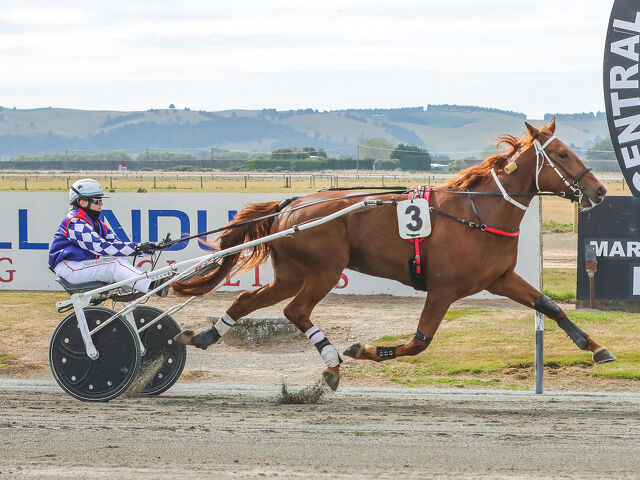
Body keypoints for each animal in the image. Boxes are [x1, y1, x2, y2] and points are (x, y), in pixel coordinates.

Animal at [172, 118, 614, 391]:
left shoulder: (500, 278)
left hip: (293, 273)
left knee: (249, 299)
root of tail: (290, 204)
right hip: (324, 271)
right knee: (295, 311)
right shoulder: (443, 289)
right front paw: (365, 351)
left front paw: (596, 348)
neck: (477, 213)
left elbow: (549, 306)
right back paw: (332, 359)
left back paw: (206, 335)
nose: (599, 190)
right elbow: (419, 342)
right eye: (561, 154)